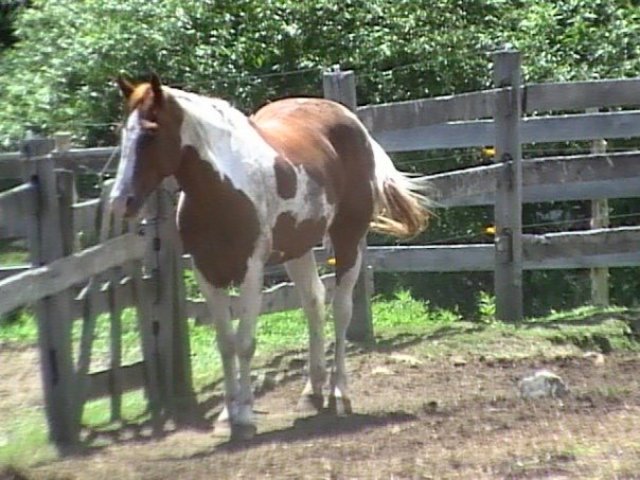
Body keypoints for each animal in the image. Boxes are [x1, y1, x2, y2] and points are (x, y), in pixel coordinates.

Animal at [110, 74, 431, 440]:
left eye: (150, 132)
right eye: (123, 132)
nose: (120, 202)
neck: (221, 188)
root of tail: (352, 121)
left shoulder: (252, 270)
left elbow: (245, 342)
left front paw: (245, 416)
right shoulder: (207, 272)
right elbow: (225, 342)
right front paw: (226, 416)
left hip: (349, 239)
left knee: (341, 309)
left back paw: (339, 393)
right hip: (298, 249)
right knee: (313, 303)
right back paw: (312, 393)